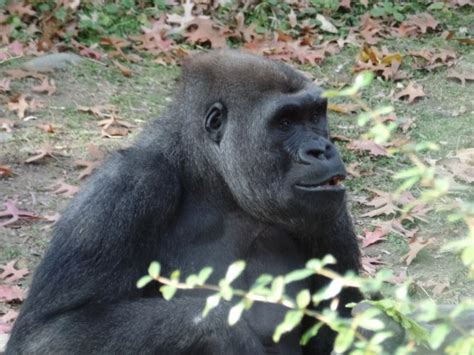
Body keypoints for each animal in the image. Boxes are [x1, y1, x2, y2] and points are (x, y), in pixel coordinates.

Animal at [7, 50, 362, 355]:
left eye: (315, 116)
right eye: (285, 122)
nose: (321, 150)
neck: (214, 181)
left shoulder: (328, 212)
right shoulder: (129, 183)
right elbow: (48, 335)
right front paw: (224, 333)